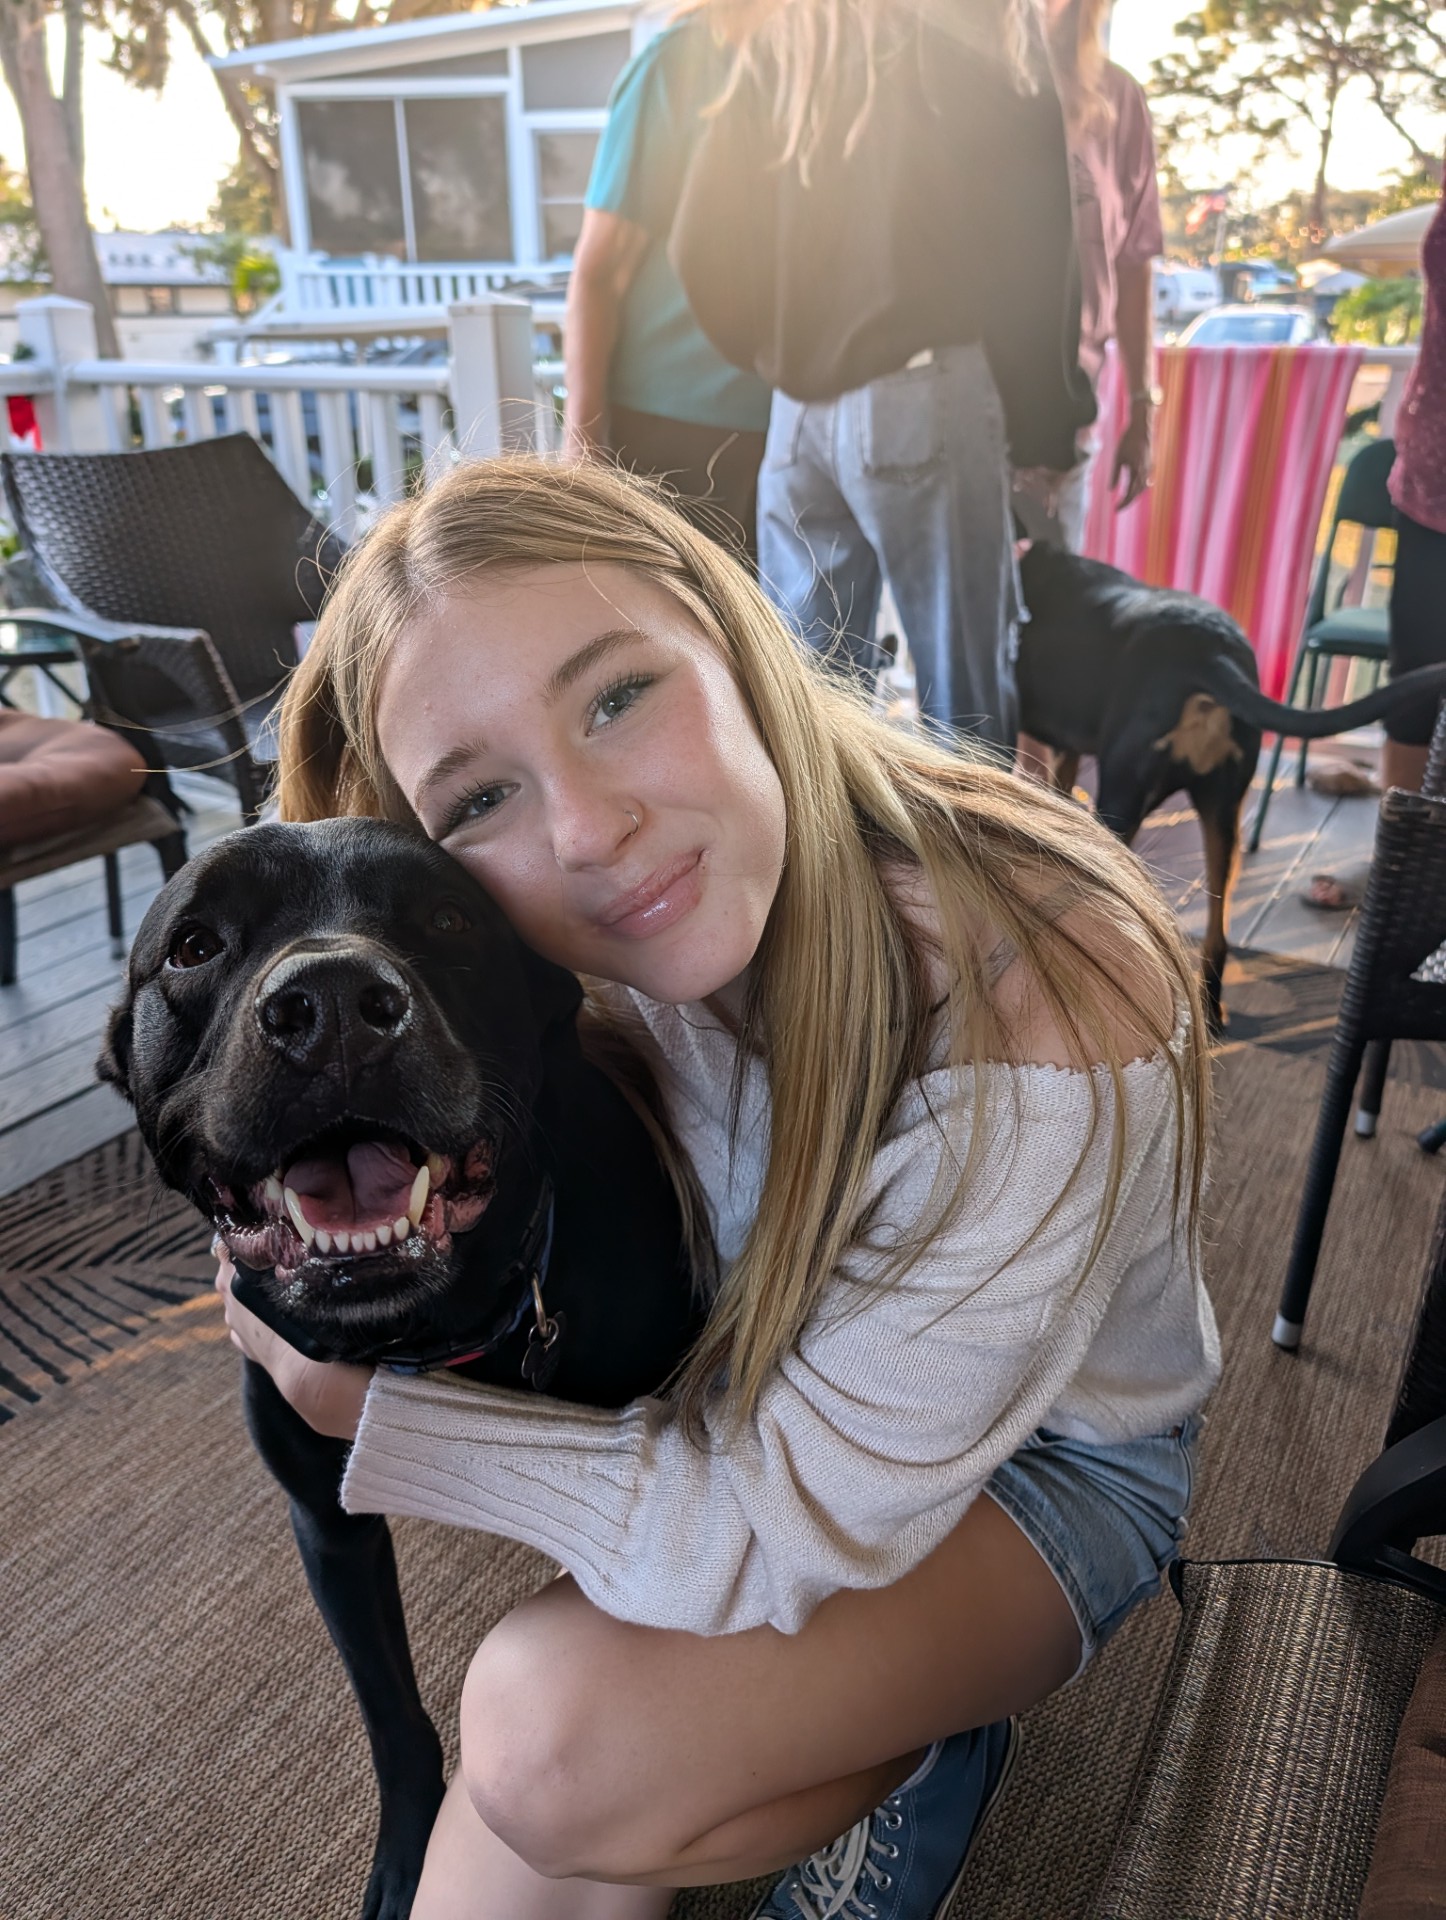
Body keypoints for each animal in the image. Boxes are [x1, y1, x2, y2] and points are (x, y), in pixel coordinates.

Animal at [98, 817, 705, 1920]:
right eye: (194, 945)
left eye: (450, 918)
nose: (333, 1005)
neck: (430, 1334)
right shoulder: (328, 1528)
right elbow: (391, 1717)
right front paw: (406, 1854)